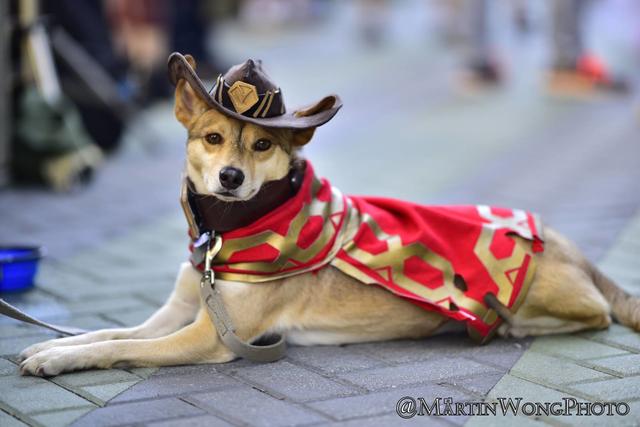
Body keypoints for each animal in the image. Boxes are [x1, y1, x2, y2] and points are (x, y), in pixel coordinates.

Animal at [16, 54, 640, 378]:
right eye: (213, 137)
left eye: (262, 144)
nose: (230, 178)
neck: (229, 233)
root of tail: (566, 242)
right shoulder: (172, 315)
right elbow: (108, 331)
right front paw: (52, 348)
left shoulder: (211, 338)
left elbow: (119, 347)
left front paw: (61, 360)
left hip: (544, 293)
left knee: (595, 314)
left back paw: (517, 325)